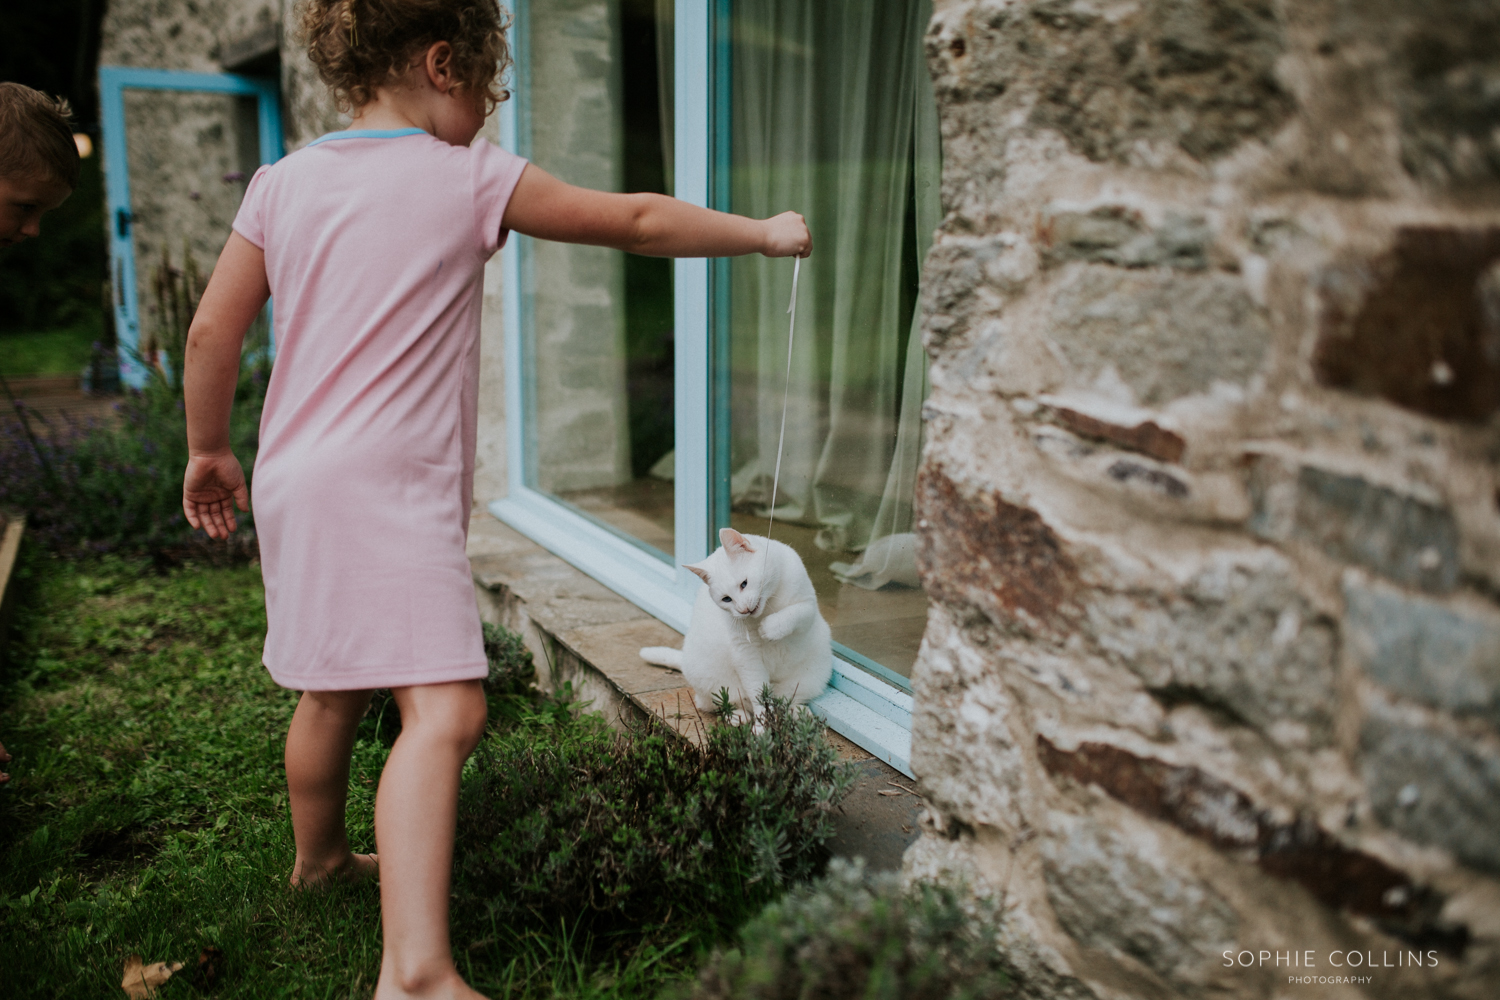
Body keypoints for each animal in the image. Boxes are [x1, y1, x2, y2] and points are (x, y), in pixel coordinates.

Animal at [639, 527, 840, 722]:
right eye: (726, 599)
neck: (769, 604)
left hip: (808, 680)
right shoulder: (746, 653)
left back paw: (798, 713)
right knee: (725, 703)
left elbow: (792, 613)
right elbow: (758, 694)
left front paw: (770, 628)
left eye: (744, 584)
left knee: (787, 699)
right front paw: (763, 726)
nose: (743, 610)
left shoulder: (808, 607)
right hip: (714, 683)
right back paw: (737, 717)